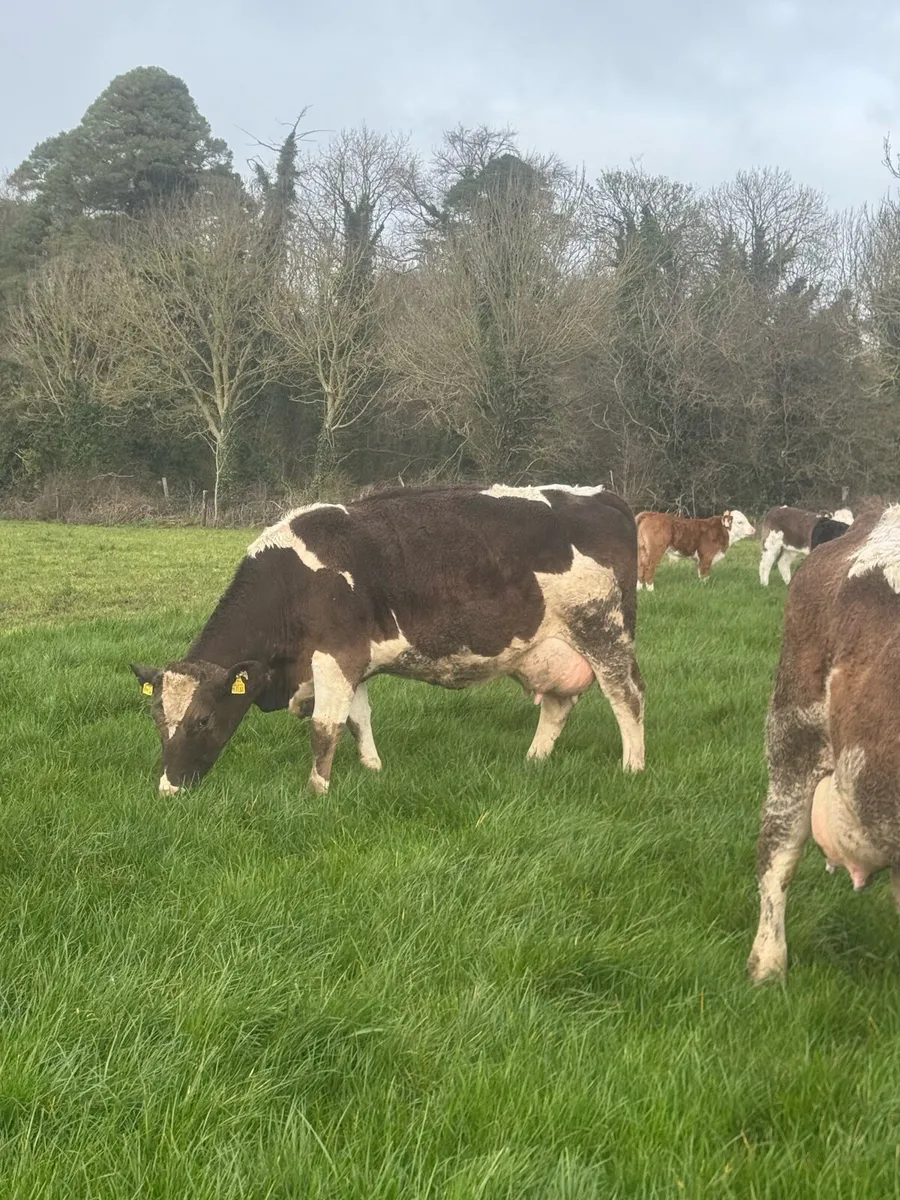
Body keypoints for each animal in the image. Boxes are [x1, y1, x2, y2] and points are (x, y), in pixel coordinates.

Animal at [131, 483, 646, 796]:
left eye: (201, 719)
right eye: (156, 717)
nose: (169, 788)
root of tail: (601, 496)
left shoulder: (334, 655)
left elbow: (324, 728)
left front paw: (317, 790)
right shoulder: (353, 661)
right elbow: (359, 719)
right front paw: (373, 769)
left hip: (603, 630)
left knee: (629, 697)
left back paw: (633, 769)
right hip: (552, 647)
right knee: (559, 704)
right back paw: (534, 760)